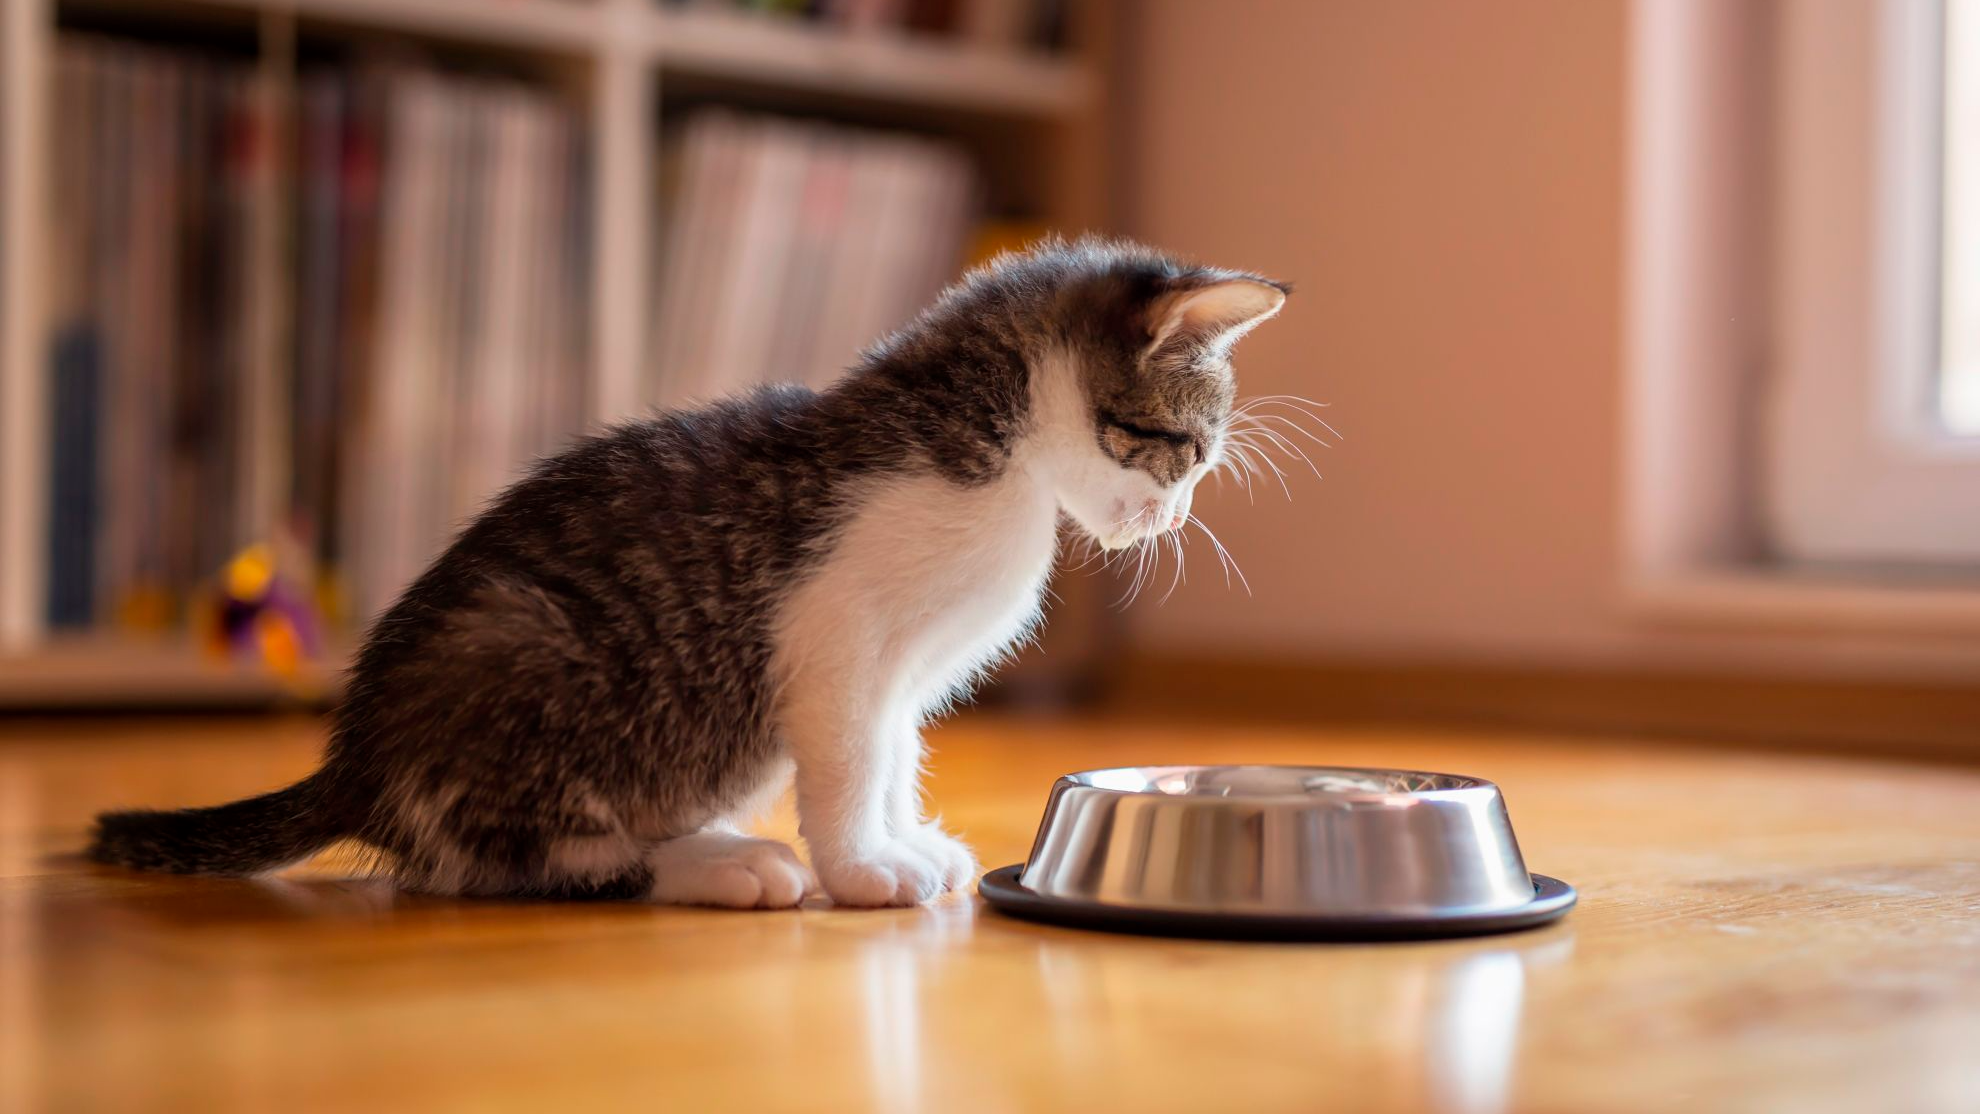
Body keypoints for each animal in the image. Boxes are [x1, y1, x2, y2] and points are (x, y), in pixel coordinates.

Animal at [89, 237, 1298, 906]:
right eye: (1185, 450)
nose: (1170, 517)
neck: (989, 444)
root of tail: (358, 758)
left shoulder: (902, 670)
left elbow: (895, 751)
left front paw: (903, 837)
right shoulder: (837, 634)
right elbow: (851, 758)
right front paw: (865, 870)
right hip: (523, 650)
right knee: (487, 862)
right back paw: (715, 868)